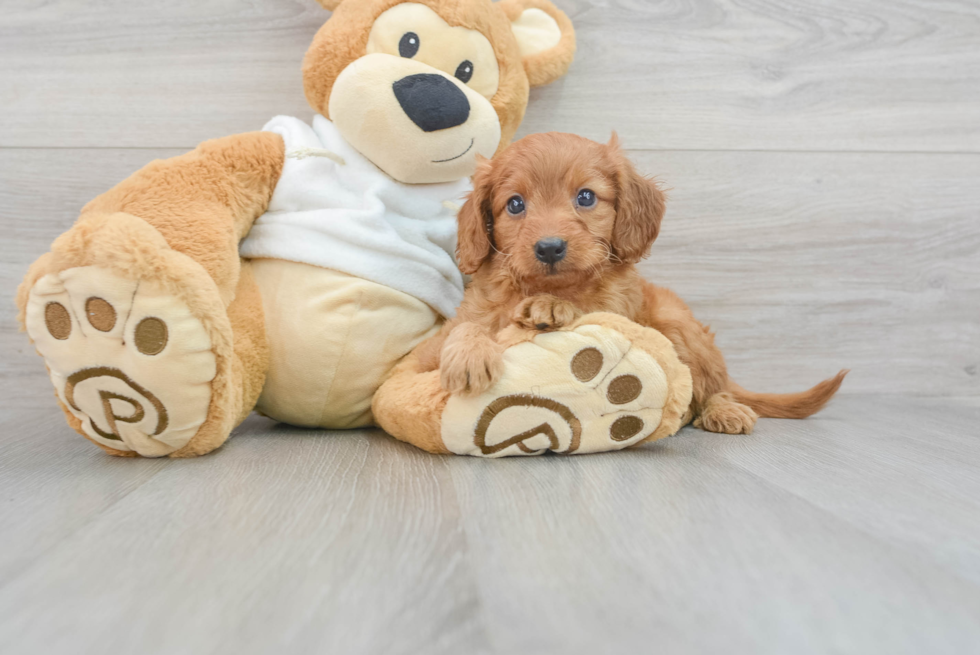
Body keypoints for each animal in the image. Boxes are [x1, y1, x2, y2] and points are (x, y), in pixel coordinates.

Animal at [418, 131, 848, 434]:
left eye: (586, 197)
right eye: (515, 204)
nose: (550, 248)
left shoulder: (616, 313)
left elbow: (583, 307)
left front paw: (551, 307)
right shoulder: (447, 335)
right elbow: (468, 329)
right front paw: (470, 356)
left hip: (679, 324)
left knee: (710, 386)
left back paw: (723, 410)